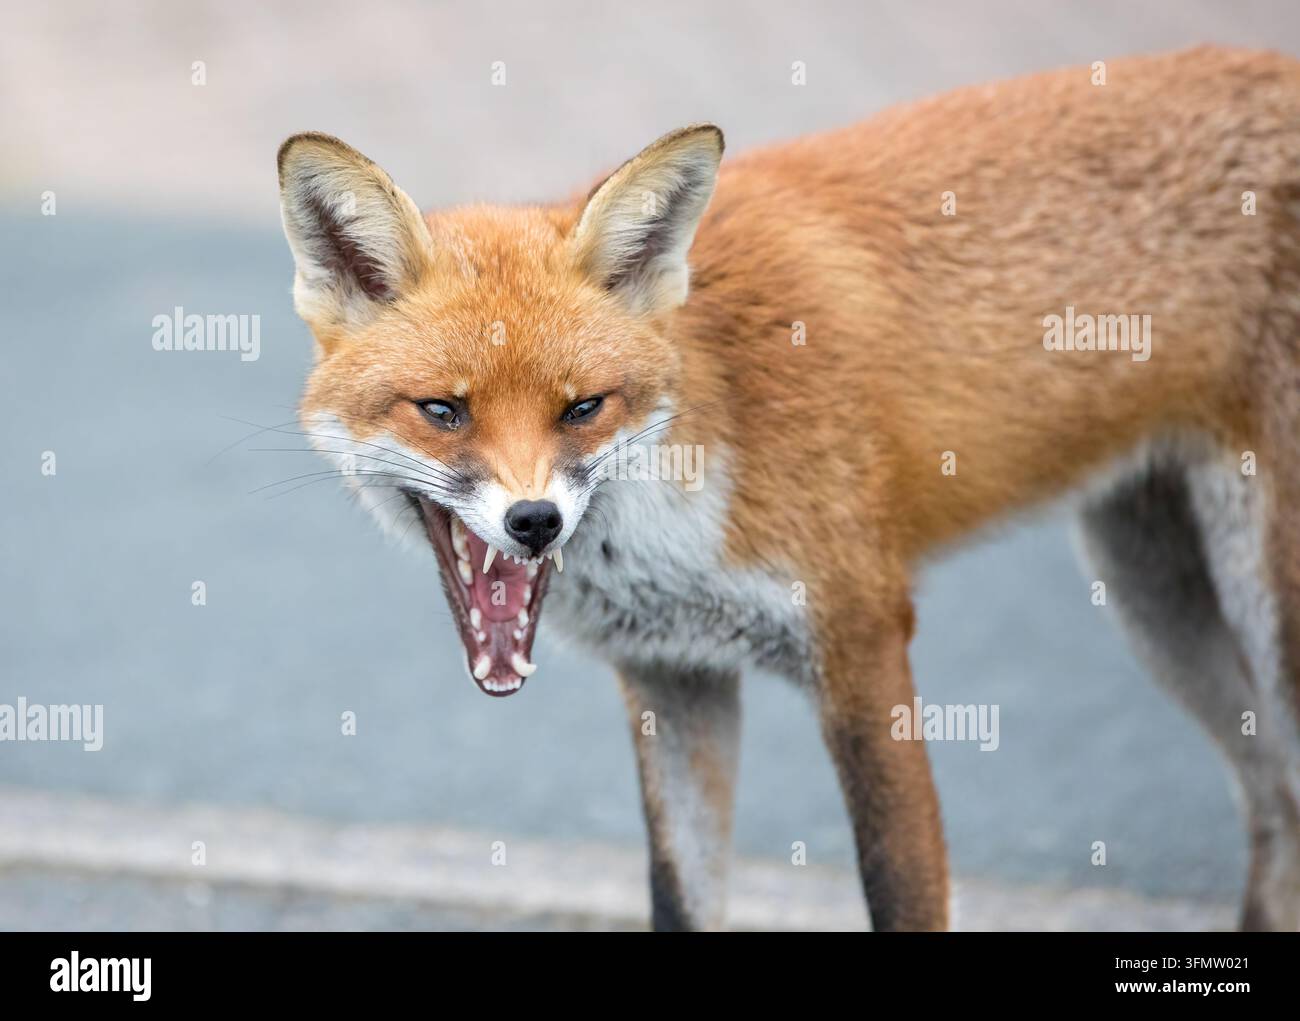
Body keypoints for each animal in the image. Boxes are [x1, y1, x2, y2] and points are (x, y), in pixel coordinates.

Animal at [276, 45, 1300, 931]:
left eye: (583, 408)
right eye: (443, 410)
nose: (534, 522)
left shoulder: (863, 640)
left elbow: (901, 890)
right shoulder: (674, 677)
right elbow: (680, 900)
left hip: (1259, 611)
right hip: (1157, 599)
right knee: (1273, 800)